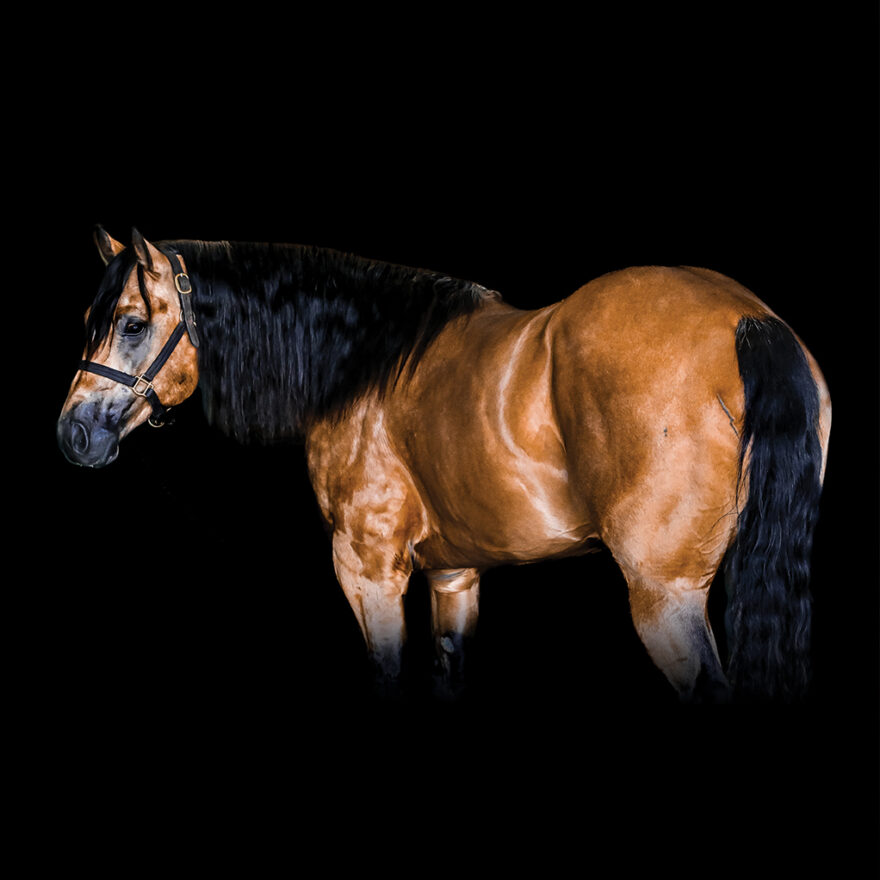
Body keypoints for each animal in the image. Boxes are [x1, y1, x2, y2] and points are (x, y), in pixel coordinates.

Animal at [57, 227, 831, 703]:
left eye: (131, 322)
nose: (74, 433)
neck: (367, 364)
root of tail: (745, 320)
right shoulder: (455, 577)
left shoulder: (369, 571)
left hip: (664, 596)